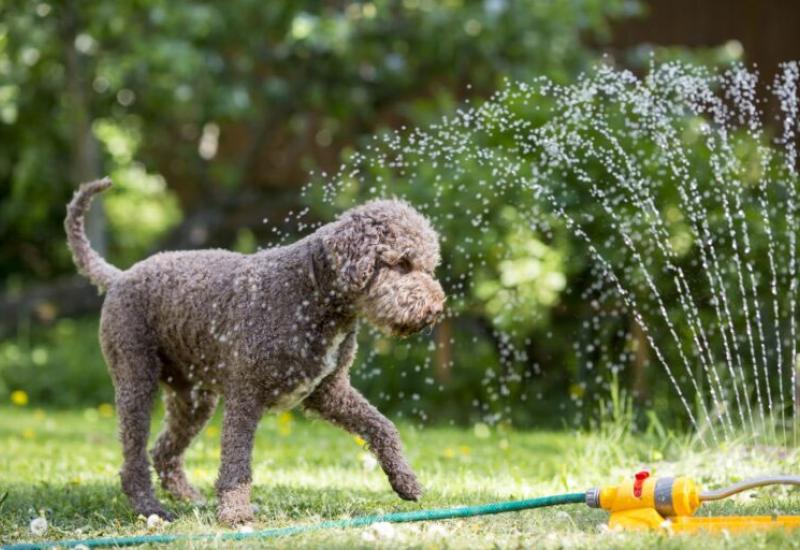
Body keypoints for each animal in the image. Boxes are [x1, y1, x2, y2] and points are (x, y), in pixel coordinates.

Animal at [65, 180, 446, 528]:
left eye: (429, 267)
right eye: (402, 263)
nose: (436, 309)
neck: (310, 293)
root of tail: (119, 277)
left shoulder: (328, 391)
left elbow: (382, 427)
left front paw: (406, 481)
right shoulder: (245, 396)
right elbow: (236, 464)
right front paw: (235, 513)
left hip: (194, 400)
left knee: (163, 451)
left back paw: (189, 498)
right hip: (136, 382)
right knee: (134, 459)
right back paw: (150, 507)